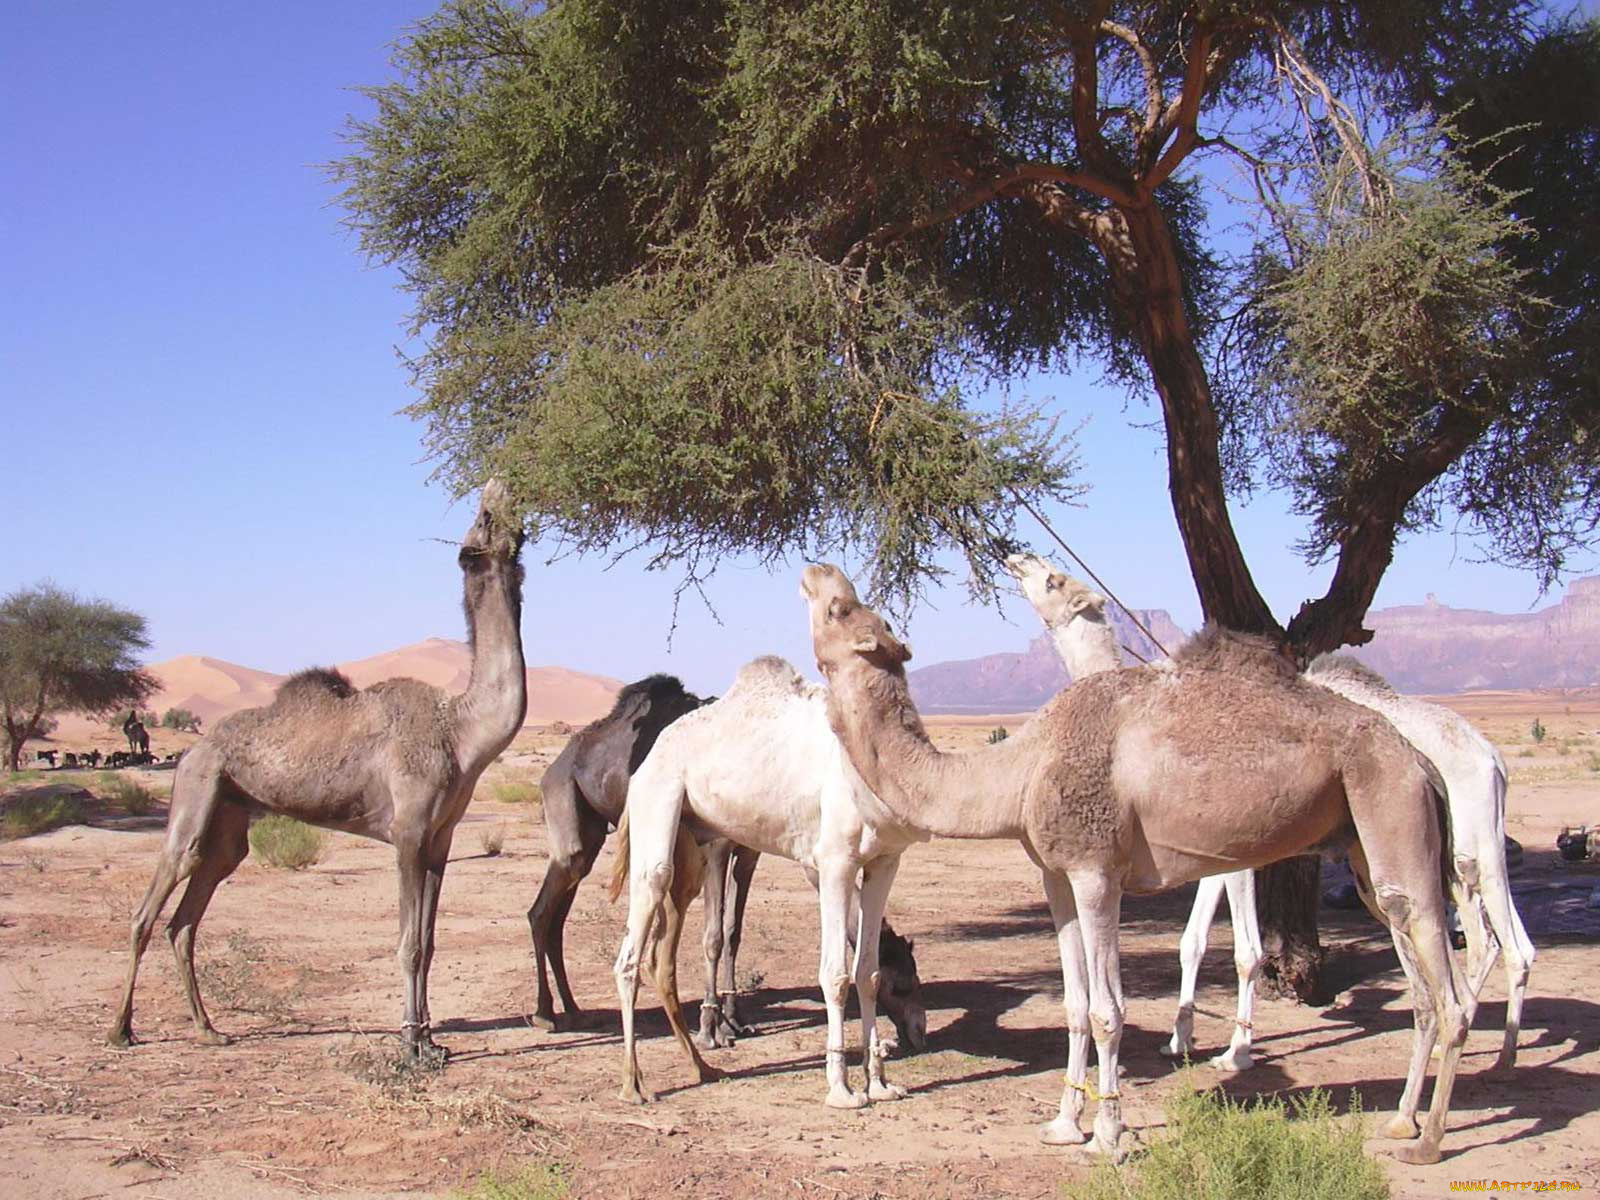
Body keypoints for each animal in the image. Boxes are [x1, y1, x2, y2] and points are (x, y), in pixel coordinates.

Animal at [528, 678, 764, 1043]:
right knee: (541, 911)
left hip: (589, 836)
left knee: (558, 915)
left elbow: (733, 931)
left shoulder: (749, 853)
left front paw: (735, 1018)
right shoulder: (716, 847)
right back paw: (544, 1014)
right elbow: (713, 935)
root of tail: (557, 764)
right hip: (564, 800)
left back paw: (573, 1009)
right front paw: (711, 1028)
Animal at [608, 659, 928, 1107]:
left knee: (660, 957)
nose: (921, 1030)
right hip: (658, 807)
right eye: (904, 987)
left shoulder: (884, 861)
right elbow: (836, 975)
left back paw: (703, 1068)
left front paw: (880, 1085)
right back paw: (633, 1084)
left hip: (690, 842)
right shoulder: (831, 862)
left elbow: (867, 971)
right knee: (631, 952)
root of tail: (645, 762)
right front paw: (842, 1090)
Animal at [1004, 553, 1529, 1068]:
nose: (1016, 557)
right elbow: (1191, 941)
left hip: (1463, 841)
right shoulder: (1203, 850)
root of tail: (1491, 757)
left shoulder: (1233, 852)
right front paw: (1180, 1039)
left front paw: (1236, 1052)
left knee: (1493, 939)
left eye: (1054, 579)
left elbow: (1247, 951)